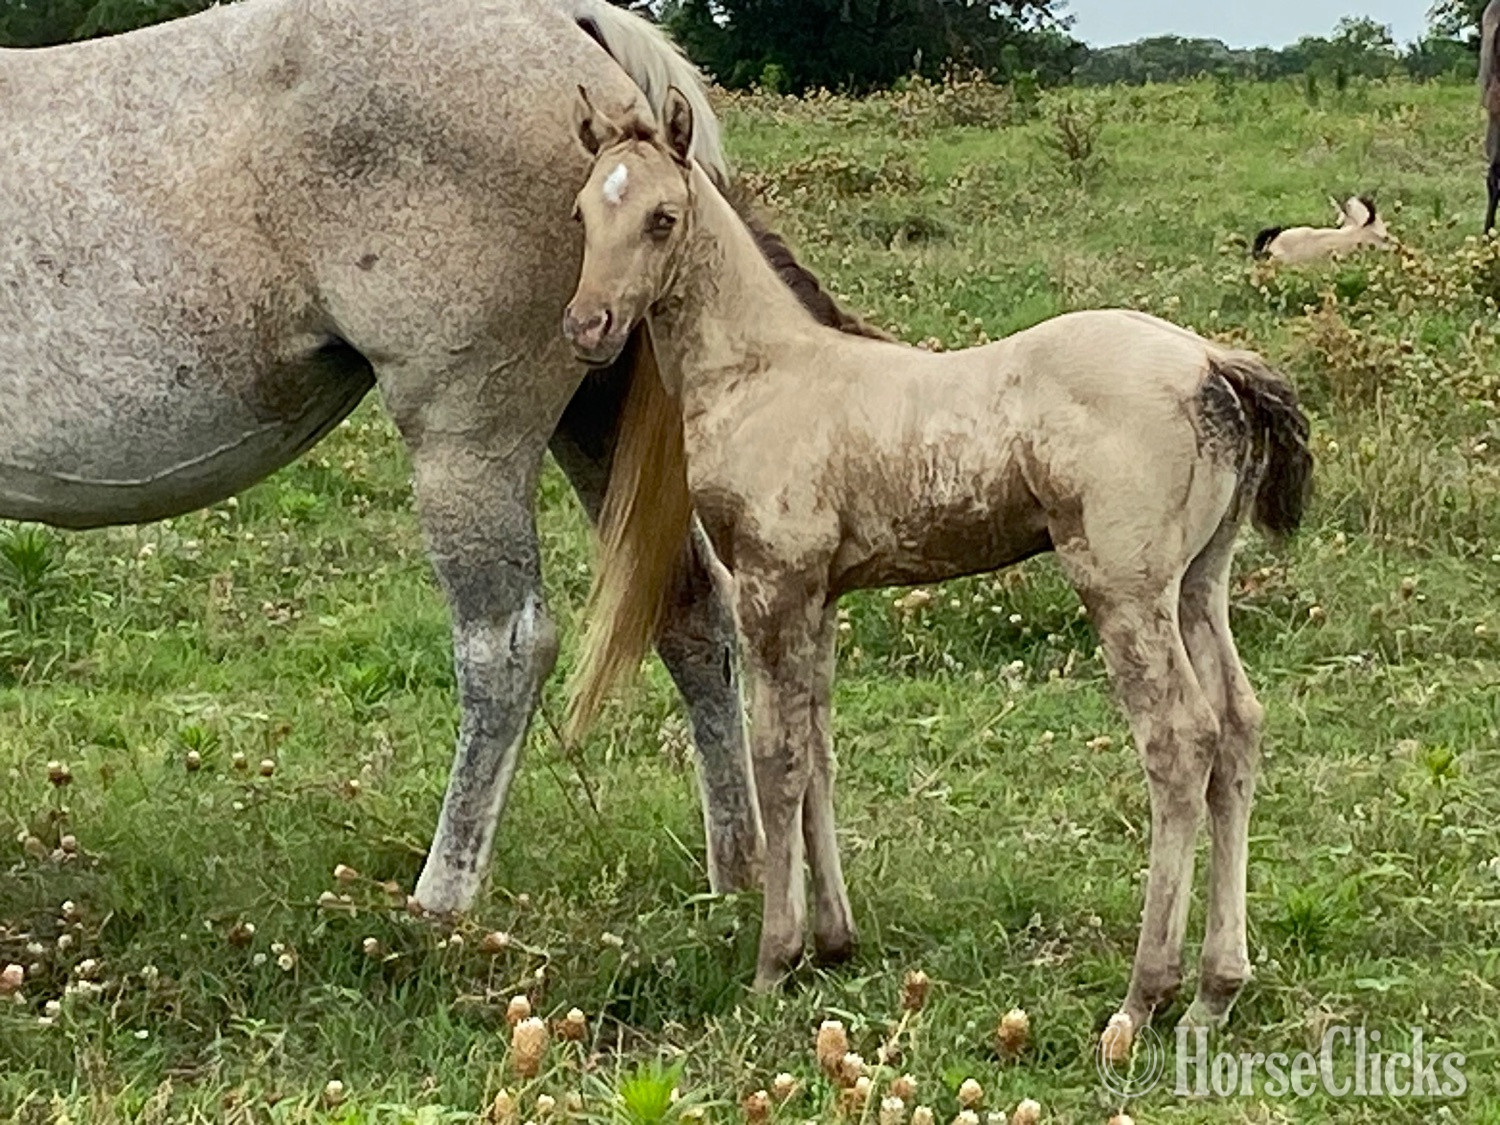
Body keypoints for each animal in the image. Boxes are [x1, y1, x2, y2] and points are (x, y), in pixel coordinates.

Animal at [0, 0, 876, 915]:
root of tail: (565, 27)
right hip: (592, 423)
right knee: (694, 612)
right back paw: (738, 875)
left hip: (468, 450)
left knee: (506, 649)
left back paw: (442, 898)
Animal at [561, 89, 1313, 1033]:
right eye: (582, 213)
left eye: (662, 218)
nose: (587, 326)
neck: (763, 373)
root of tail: (1213, 360)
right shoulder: (822, 595)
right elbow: (818, 747)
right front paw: (834, 942)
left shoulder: (772, 583)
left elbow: (778, 756)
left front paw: (775, 959)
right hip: (1198, 583)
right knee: (1240, 727)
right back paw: (1216, 989)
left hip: (1125, 588)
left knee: (1181, 739)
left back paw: (1144, 996)